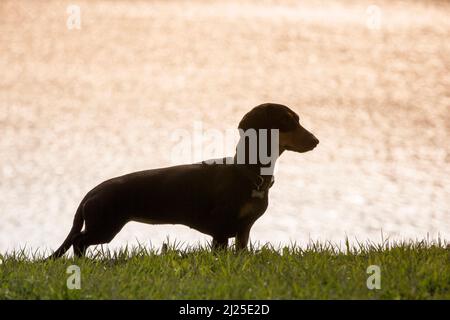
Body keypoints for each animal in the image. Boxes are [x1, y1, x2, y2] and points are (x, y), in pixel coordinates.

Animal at [48, 104, 316, 258]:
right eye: (286, 120)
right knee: (79, 241)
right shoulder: (220, 230)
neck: (247, 173)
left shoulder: (243, 230)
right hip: (105, 226)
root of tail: (93, 191)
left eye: (297, 119)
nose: (316, 141)